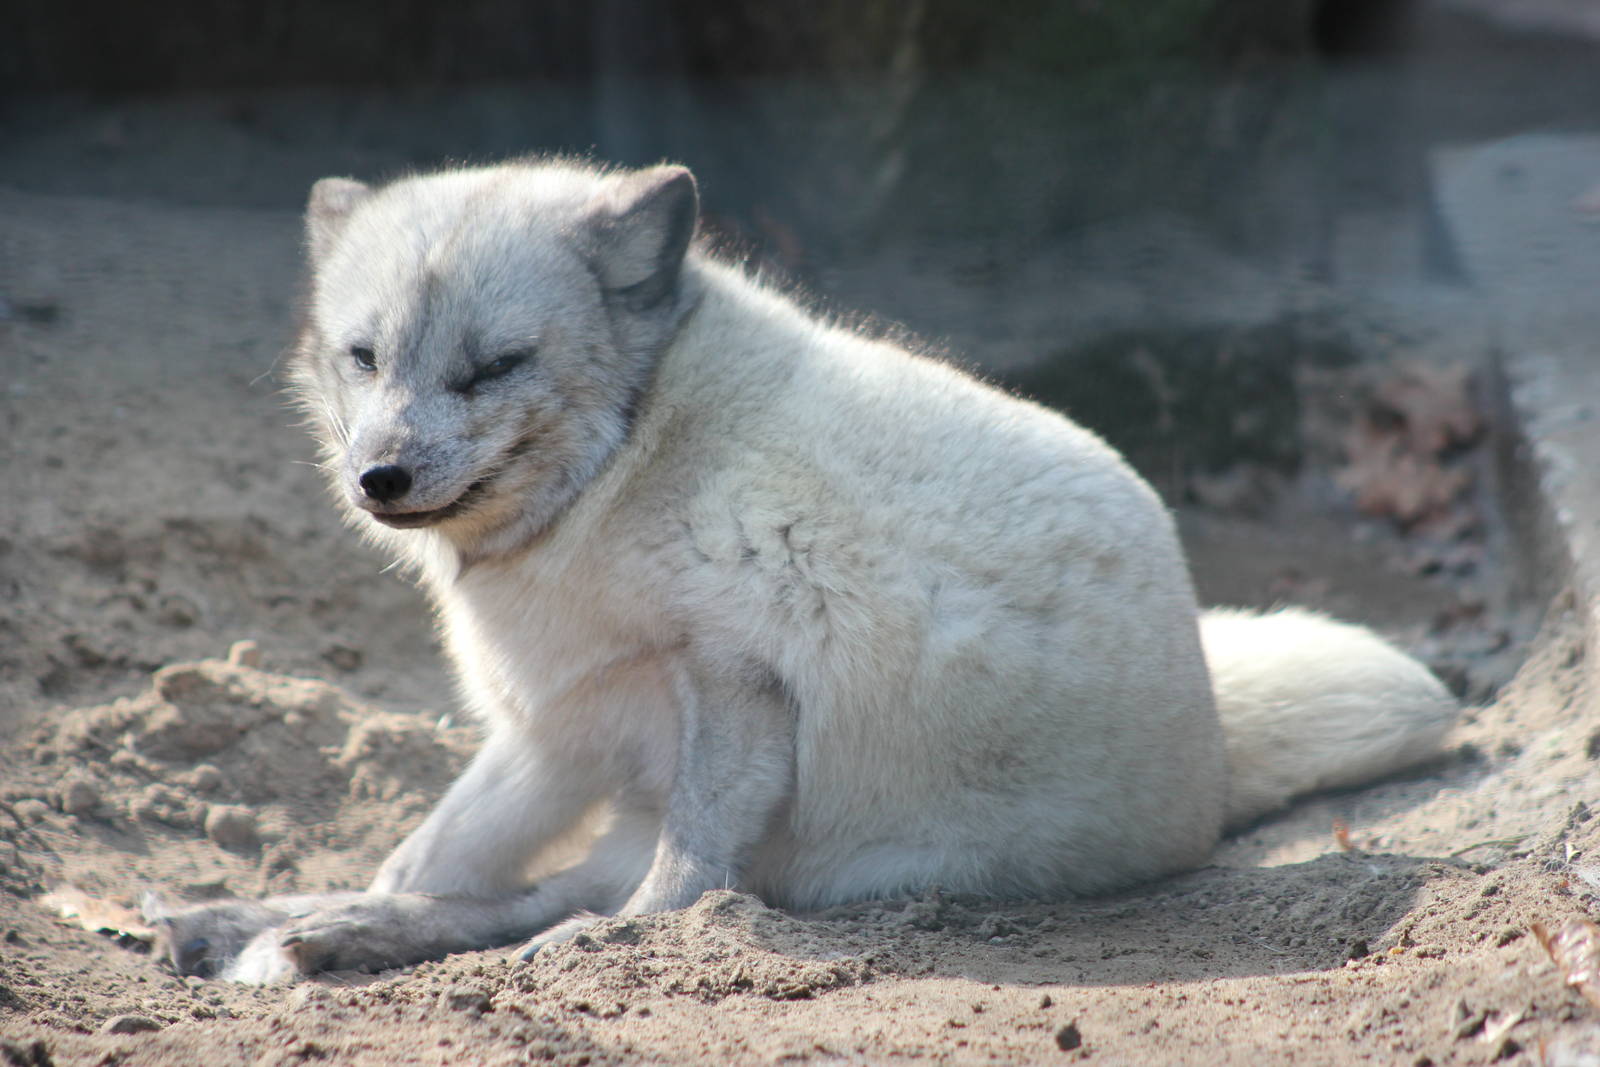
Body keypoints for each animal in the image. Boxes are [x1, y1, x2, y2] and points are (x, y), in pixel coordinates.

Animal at [145, 159, 1458, 983]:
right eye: (362, 356)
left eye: (494, 365)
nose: (380, 475)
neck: (633, 449)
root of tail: (1212, 748)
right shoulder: (559, 722)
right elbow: (428, 852)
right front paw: (298, 910)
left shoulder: (733, 673)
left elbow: (682, 881)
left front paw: (617, 953)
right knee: (480, 887)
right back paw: (252, 926)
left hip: (831, 848)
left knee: (566, 895)